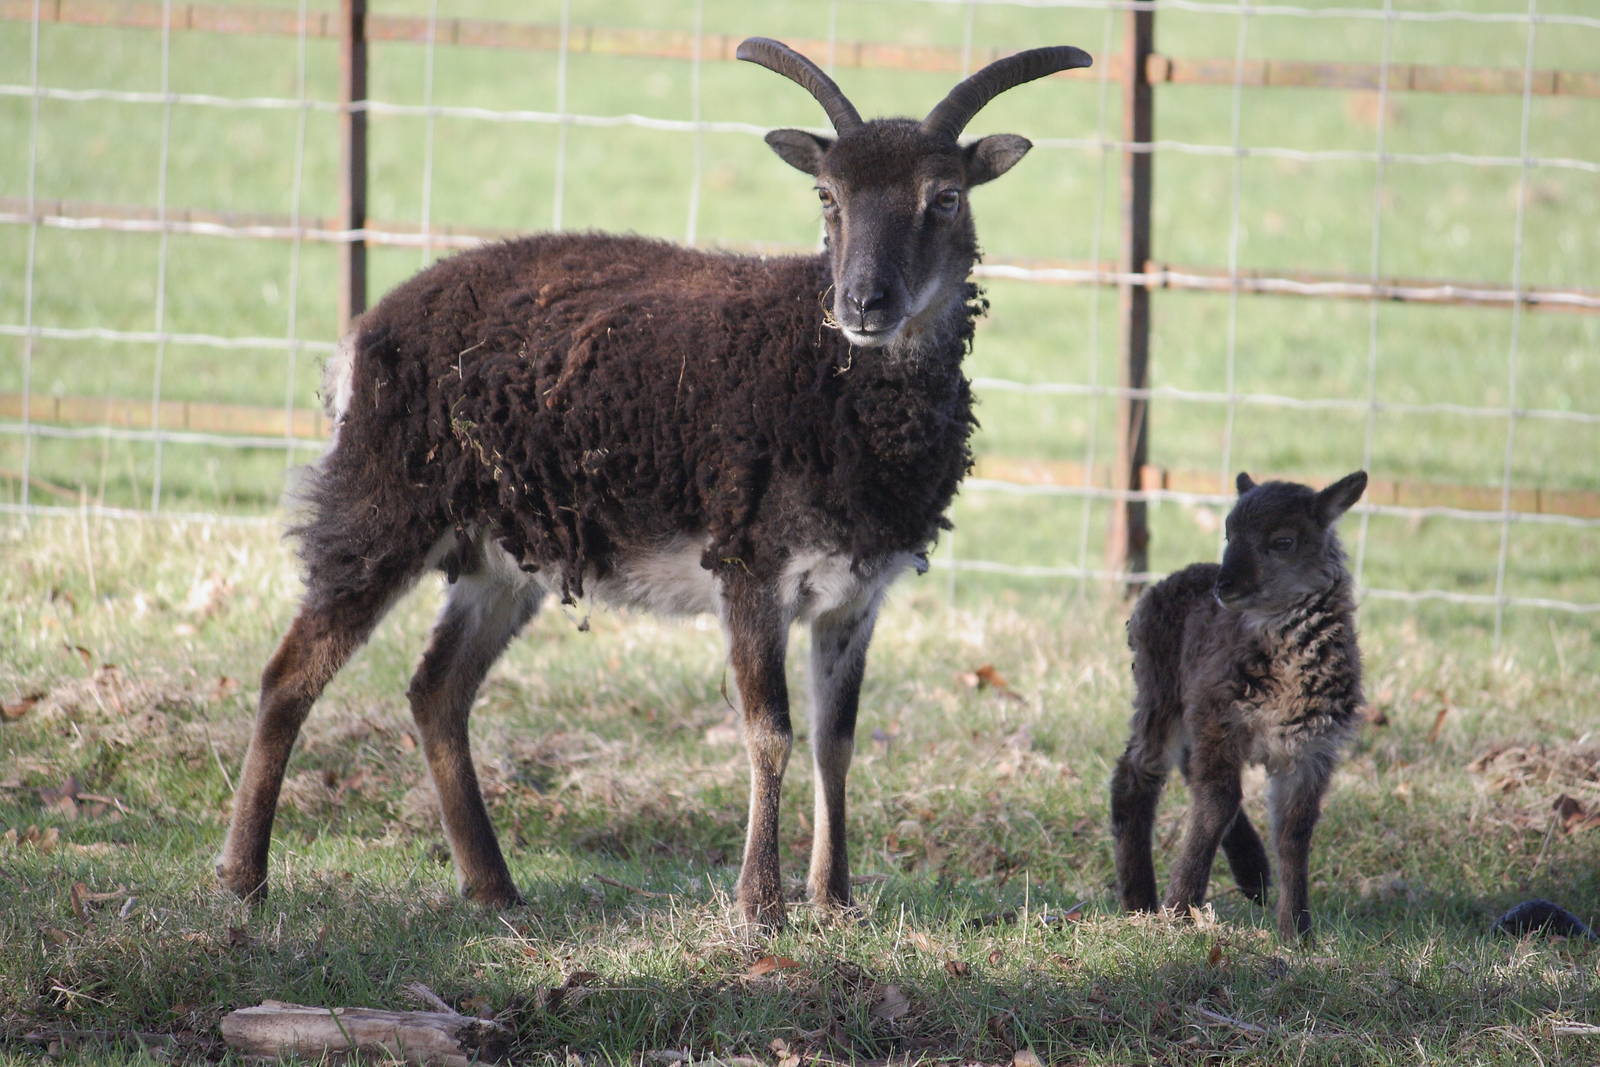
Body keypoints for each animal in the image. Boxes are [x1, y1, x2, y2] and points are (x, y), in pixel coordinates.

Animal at [216, 37, 1094, 928]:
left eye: (944, 196)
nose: (863, 304)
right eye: (828, 195)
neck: (832, 386)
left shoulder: (858, 590)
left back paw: (495, 888)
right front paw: (761, 906)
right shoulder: (749, 564)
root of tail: (359, 340)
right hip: (382, 502)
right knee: (290, 673)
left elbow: (836, 738)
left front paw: (837, 899)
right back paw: (245, 877)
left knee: (437, 690)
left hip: (502, 556)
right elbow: (770, 731)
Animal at [1110, 470, 1368, 939]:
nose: (1224, 586)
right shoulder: (1220, 717)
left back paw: (1254, 876)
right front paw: (1179, 906)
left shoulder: (1311, 747)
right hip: (1159, 686)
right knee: (1137, 773)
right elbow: (1218, 802)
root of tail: (1183, 572)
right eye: (1228, 533)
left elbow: (1295, 831)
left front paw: (1296, 929)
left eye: (1282, 541)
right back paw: (1140, 898)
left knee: (1186, 766)